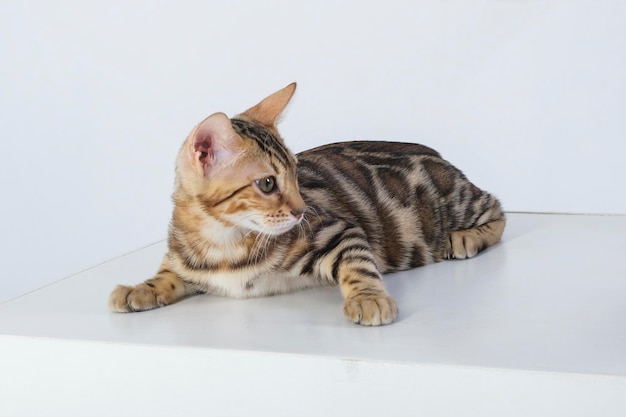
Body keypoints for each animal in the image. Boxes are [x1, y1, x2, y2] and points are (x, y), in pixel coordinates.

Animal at [109, 83, 504, 324]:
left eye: (298, 175)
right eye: (267, 183)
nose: (301, 211)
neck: (222, 242)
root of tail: (436, 153)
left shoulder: (338, 232)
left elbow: (359, 266)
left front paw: (368, 298)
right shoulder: (185, 262)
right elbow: (167, 274)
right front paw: (139, 288)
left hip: (454, 205)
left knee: (497, 208)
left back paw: (465, 237)